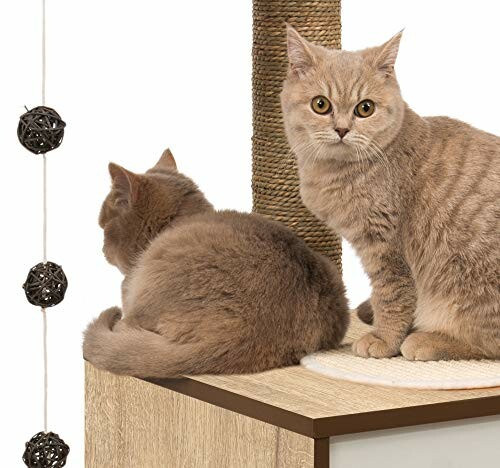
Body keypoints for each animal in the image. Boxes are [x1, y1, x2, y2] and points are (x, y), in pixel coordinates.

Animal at [282, 24, 500, 362]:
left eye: (365, 108)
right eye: (321, 104)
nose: (342, 129)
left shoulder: (386, 248)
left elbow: (392, 296)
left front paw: (384, 339)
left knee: (487, 343)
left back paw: (426, 340)